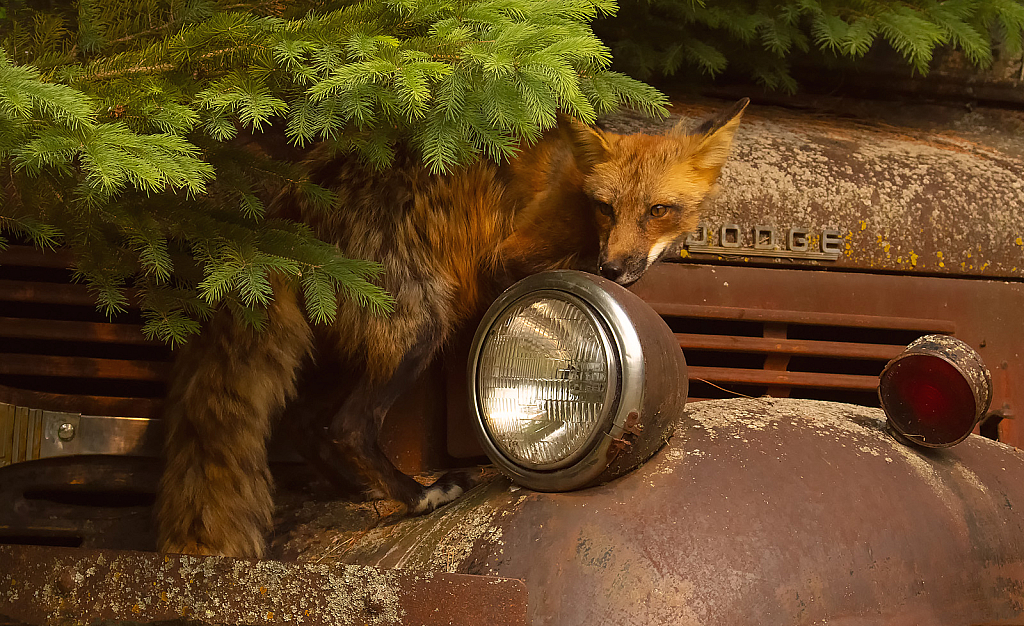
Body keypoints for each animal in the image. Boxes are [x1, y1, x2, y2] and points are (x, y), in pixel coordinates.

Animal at [155, 97, 749, 557]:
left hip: (347, 342)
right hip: (420, 328)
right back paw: (418, 497)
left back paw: (359, 494)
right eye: (605, 207)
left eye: (659, 209)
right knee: (346, 426)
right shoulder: (510, 258)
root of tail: (291, 204)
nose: (613, 270)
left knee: (306, 424)